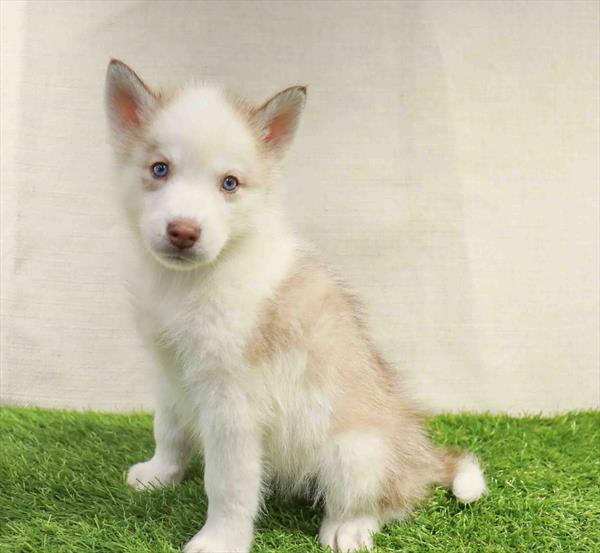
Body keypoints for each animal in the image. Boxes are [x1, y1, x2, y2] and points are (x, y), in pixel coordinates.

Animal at [104, 60, 488, 552]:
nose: (183, 231)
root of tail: (420, 456)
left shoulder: (233, 405)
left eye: (229, 183)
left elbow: (227, 483)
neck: (187, 282)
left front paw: (220, 539)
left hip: (353, 452)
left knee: (385, 501)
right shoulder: (169, 369)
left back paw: (349, 527)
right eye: (159, 169)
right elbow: (168, 427)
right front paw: (159, 474)